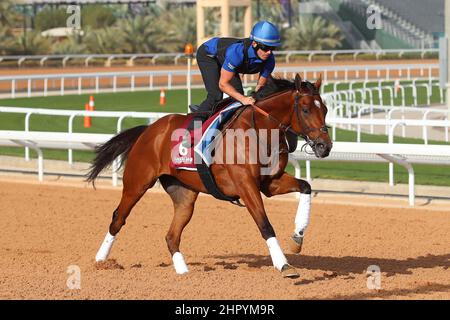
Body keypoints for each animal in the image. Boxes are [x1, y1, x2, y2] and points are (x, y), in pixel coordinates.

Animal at [87, 74, 330, 278]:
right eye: (306, 109)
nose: (325, 146)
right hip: (137, 183)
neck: (259, 131)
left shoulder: (270, 183)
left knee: (171, 236)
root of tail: (148, 130)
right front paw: (284, 265)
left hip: (184, 195)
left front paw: (297, 237)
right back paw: (101, 261)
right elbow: (265, 224)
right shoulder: (246, 185)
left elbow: (306, 186)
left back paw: (183, 271)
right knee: (118, 218)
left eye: (325, 109)